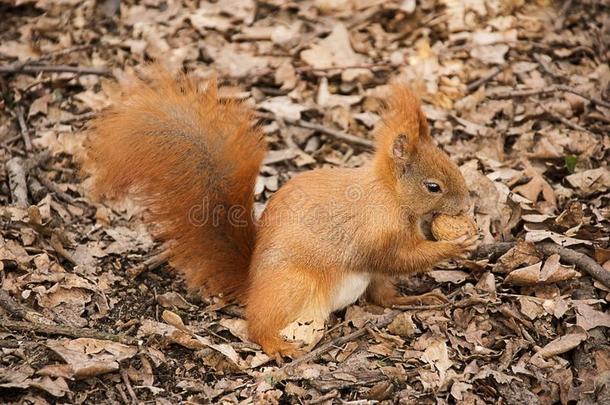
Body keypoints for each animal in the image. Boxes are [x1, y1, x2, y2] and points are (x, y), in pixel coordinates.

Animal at [85, 67, 476, 360]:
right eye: (433, 187)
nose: (466, 205)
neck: (390, 197)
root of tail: (252, 283)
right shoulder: (375, 233)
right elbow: (399, 257)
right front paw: (456, 244)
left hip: (357, 281)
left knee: (382, 297)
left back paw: (415, 300)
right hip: (292, 284)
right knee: (256, 326)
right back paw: (276, 345)